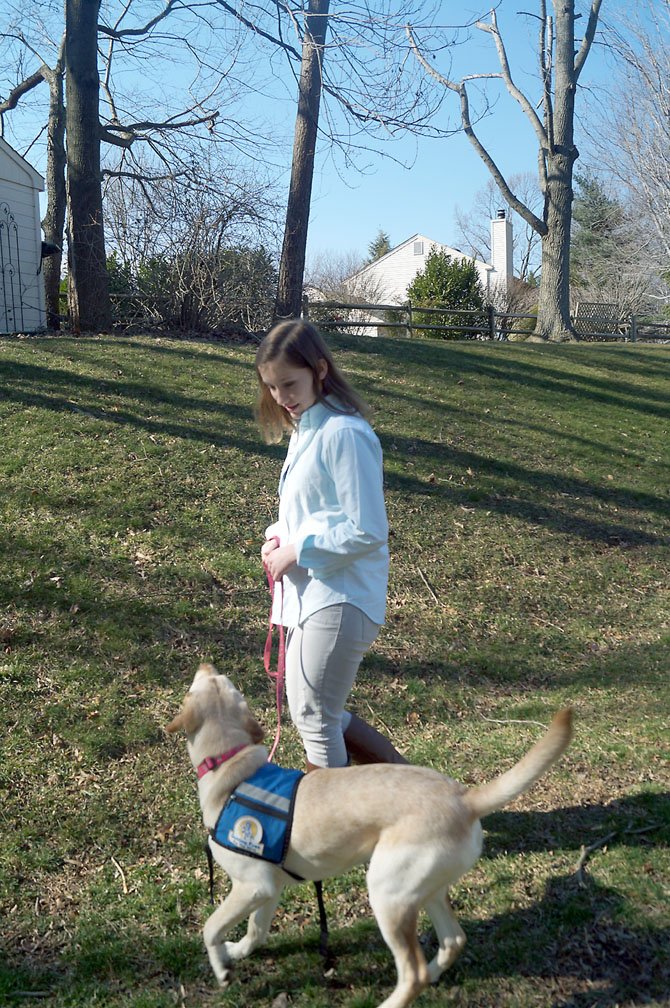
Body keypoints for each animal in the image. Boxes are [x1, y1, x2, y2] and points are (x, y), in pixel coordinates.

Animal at [166, 661, 568, 1008]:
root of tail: (465, 798)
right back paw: (435, 973)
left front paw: (221, 967)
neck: (231, 767)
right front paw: (236, 952)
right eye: (220, 680)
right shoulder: (268, 887)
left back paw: (395, 998)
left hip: (387, 894)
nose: (205, 663)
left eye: (203, 682)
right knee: (453, 941)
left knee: (413, 973)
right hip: (426, 891)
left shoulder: (251, 886)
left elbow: (210, 927)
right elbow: (256, 930)